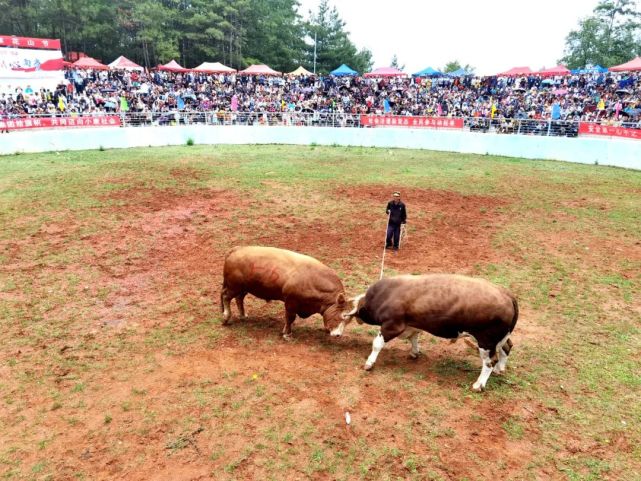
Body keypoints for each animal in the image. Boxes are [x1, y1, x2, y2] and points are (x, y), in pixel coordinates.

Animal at [220, 248, 350, 338]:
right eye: (342, 316)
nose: (338, 335)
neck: (313, 279)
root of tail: (237, 249)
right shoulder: (291, 302)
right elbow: (290, 318)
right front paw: (287, 334)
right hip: (234, 287)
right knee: (226, 297)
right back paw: (226, 317)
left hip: (243, 288)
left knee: (239, 298)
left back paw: (243, 315)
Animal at [338, 274, 516, 390]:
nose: (337, 334)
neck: (385, 295)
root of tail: (507, 294)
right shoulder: (412, 325)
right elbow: (414, 338)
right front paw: (414, 352)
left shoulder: (392, 325)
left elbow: (377, 344)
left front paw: (369, 363)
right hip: (500, 339)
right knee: (507, 347)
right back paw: (500, 368)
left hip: (486, 341)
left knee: (489, 362)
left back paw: (479, 384)